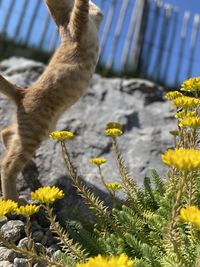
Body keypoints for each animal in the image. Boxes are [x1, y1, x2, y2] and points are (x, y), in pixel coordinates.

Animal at [0, 0, 103, 201]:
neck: (62, 20)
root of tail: (22, 92)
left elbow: (97, 11)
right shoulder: (78, 25)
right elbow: (82, 6)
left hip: (35, 130)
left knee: (7, 133)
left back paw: (28, 166)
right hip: (34, 133)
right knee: (7, 165)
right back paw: (14, 200)